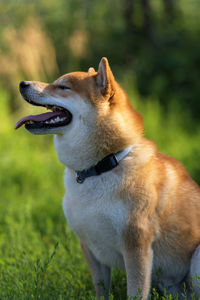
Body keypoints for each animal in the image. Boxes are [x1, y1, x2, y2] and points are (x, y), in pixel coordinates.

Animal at [15, 57, 200, 298]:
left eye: (63, 87)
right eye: (55, 82)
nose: (22, 83)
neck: (101, 167)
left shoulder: (136, 245)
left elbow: (135, 292)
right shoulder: (90, 247)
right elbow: (101, 289)